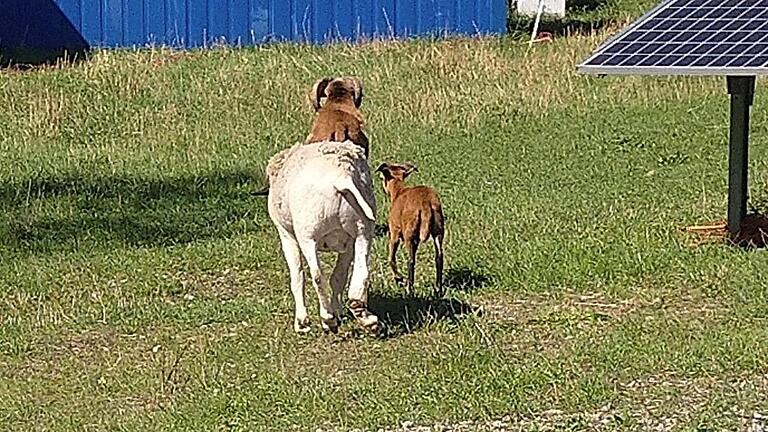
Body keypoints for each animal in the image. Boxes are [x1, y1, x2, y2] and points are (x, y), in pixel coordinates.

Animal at [266, 140, 382, 336]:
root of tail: (340, 176)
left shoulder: (286, 235)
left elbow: (297, 277)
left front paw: (302, 322)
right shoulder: (348, 245)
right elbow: (338, 278)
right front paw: (338, 311)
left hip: (307, 236)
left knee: (317, 275)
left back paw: (328, 319)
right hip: (363, 230)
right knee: (362, 273)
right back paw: (367, 320)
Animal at [376, 162, 448, 296]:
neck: (399, 191)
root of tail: (426, 202)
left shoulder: (394, 234)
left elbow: (391, 259)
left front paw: (398, 278)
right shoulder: (416, 240)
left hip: (408, 234)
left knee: (411, 261)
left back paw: (410, 289)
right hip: (438, 232)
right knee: (439, 258)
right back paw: (438, 289)